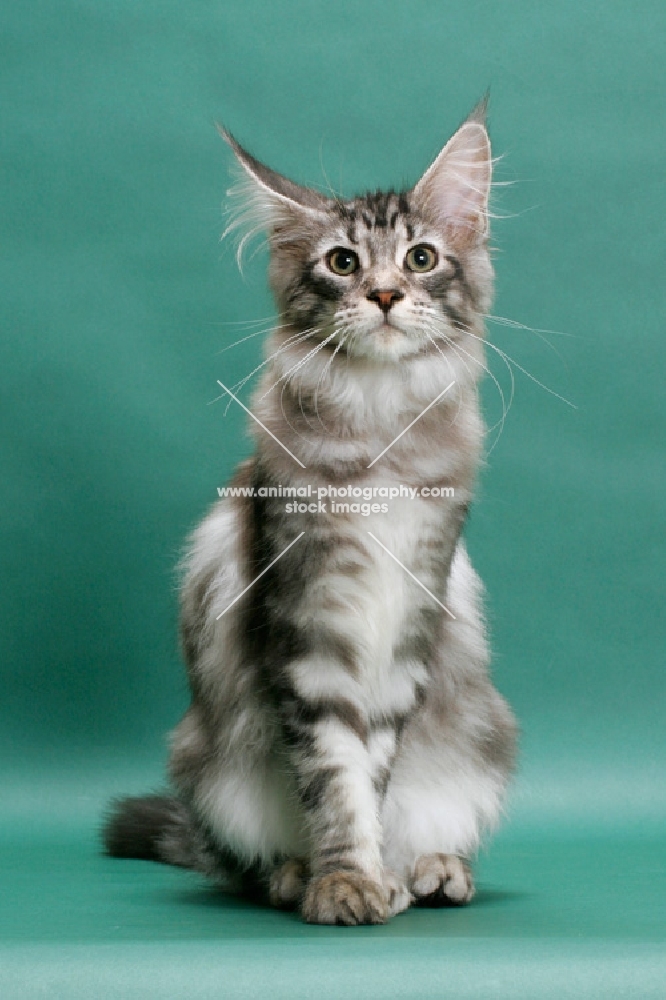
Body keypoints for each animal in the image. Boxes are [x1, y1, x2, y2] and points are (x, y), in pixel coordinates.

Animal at [105, 99, 520, 920]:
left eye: (420, 258)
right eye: (343, 264)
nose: (385, 295)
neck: (380, 432)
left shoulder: (407, 623)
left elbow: (372, 770)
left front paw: (376, 875)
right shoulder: (305, 629)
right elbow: (334, 774)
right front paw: (344, 880)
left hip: (480, 736)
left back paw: (432, 870)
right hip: (206, 765)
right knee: (242, 864)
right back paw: (294, 874)